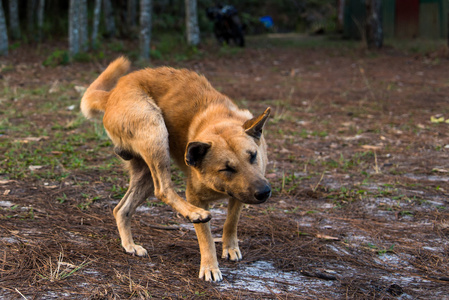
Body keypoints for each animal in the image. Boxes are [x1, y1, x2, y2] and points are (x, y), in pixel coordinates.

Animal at [80, 56, 270, 282]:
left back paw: (130, 245)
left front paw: (230, 247)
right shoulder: (196, 196)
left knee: (121, 209)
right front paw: (209, 266)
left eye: (253, 156)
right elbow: (206, 237)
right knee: (163, 189)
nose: (264, 192)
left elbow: (231, 220)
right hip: (156, 132)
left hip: (145, 174)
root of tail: (111, 94)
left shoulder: (241, 193)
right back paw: (193, 214)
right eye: (226, 168)